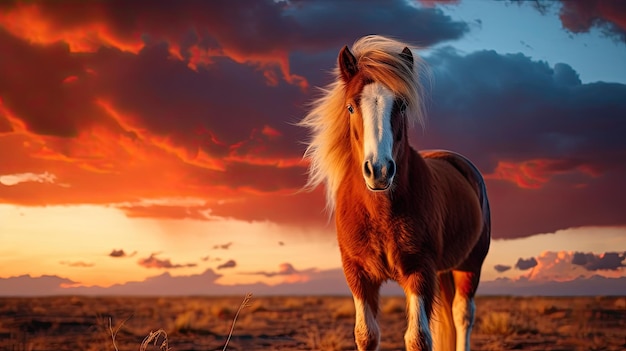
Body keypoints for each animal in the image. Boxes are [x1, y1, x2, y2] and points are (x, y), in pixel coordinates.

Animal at [300, 36, 490, 351]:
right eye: (350, 107)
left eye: (401, 105)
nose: (379, 170)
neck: (380, 212)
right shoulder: (358, 275)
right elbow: (366, 335)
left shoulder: (420, 272)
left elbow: (418, 339)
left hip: (470, 265)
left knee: (463, 316)